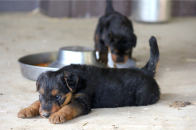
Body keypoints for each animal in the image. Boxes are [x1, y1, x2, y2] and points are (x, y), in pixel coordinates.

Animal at [18, 36, 159, 124]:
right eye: (41, 95)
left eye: (58, 97)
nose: (45, 114)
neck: (76, 82)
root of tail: (145, 71)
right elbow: (36, 102)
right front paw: (27, 110)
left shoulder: (83, 101)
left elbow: (68, 107)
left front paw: (57, 115)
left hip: (145, 97)